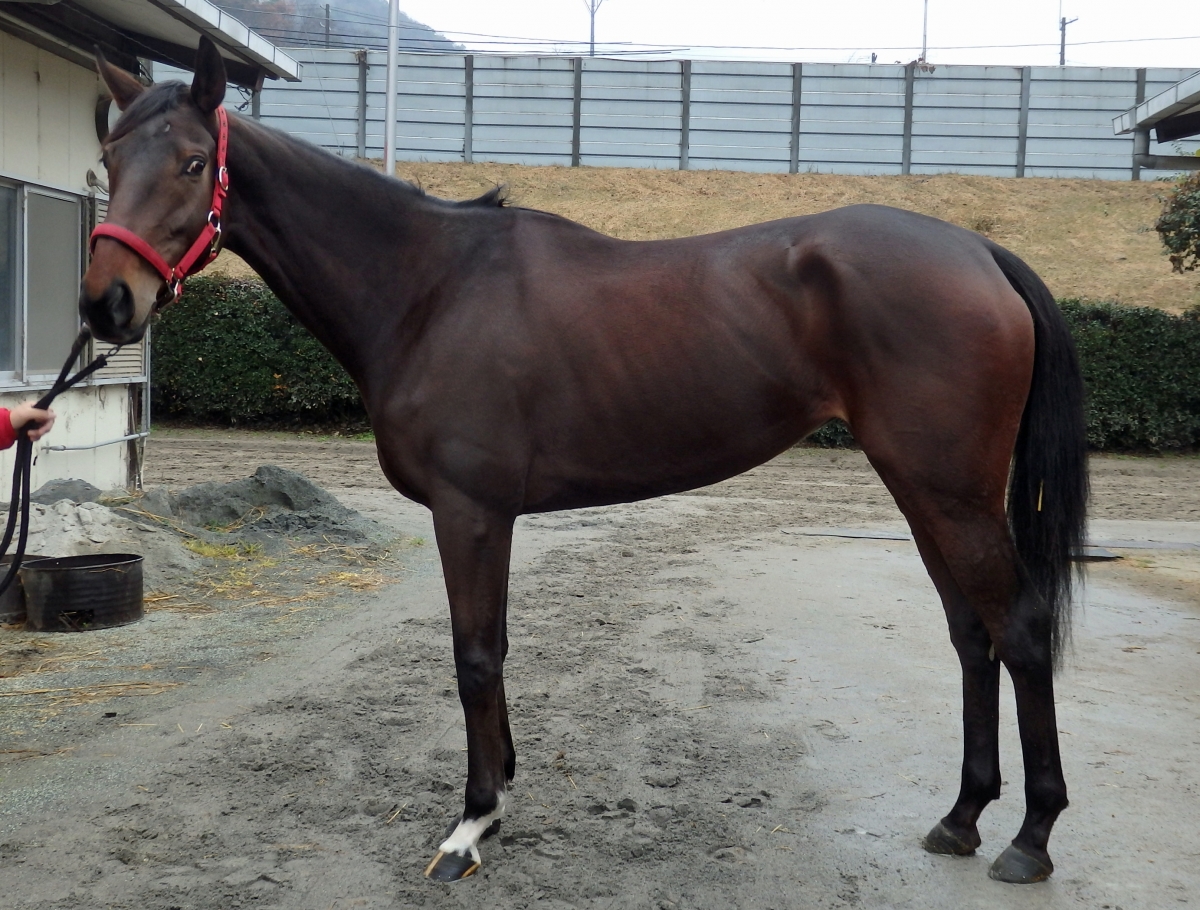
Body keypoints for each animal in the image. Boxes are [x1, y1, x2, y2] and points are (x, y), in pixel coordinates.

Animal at [81, 39, 1088, 886]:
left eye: (193, 164)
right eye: (109, 164)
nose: (105, 305)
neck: (428, 288)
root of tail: (978, 251)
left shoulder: (469, 511)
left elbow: (473, 656)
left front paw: (470, 825)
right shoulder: (490, 517)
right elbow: (496, 648)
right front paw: (501, 793)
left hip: (952, 493)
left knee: (1020, 628)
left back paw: (1031, 837)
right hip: (924, 491)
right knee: (970, 636)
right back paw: (961, 817)